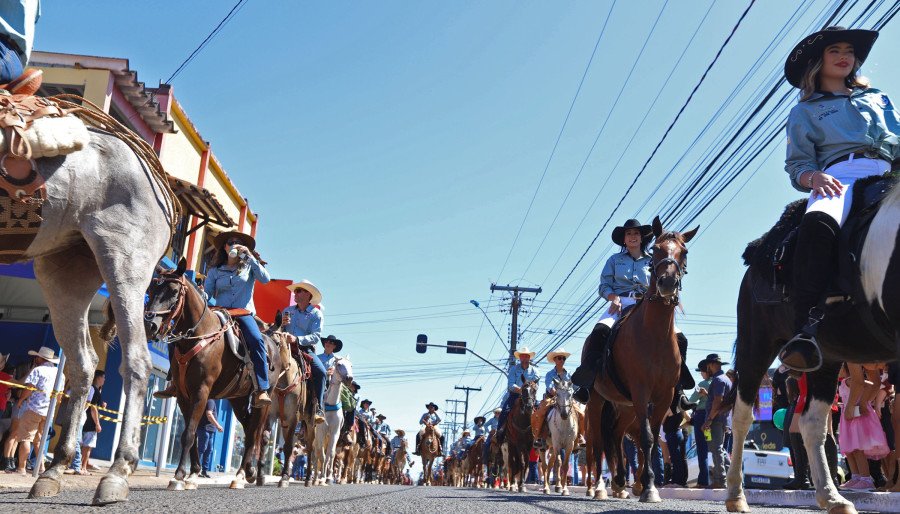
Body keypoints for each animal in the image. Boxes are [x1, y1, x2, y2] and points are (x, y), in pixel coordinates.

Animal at [21, 126, 174, 502]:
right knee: (83, 365)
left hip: (123, 258)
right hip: (64, 271)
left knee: (136, 360)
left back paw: (117, 472)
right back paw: (54, 469)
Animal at [144, 260, 284, 488]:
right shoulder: (183, 395)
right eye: (151, 289)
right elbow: (192, 434)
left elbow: (189, 433)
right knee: (248, 429)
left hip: (262, 400)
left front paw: (179, 475)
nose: (150, 325)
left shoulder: (201, 391)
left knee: (255, 433)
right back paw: (249, 471)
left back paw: (241, 476)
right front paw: (193, 473)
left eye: (173, 291)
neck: (200, 334)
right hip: (238, 399)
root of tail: (271, 339)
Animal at [592, 216, 696, 500]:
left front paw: (644, 484)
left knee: (616, 436)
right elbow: (648, 437)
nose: (667, 283)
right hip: (597, 401)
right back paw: (599, 488)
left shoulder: (664, 395)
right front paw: (649, 487)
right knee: (598, 443)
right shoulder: (641, 391)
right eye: (656, 250)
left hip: (624, 406)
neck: (654, 336)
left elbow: (649, 437)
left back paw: (619, 482)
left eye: (683, 251)